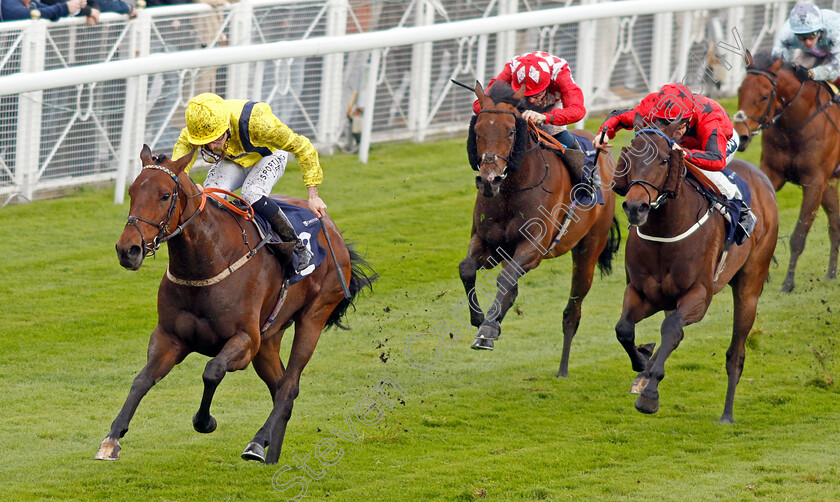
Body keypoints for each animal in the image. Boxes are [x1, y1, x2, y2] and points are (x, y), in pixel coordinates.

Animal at [95, 145, 374, 466]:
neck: (207, 261)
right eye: (132, 191)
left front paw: (205, 422)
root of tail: (332, 229)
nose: (128, 250)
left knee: (289, 386)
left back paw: (257, 443)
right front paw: (111, 439)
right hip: (269, 339)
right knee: (280, 387)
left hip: (313, 317)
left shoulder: (245, 340)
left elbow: (212, 370)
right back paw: (271, 454)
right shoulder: (169, 337)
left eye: (165, 195)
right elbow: (142, 380)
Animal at [456, 81, 620, 376]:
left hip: (589, 249)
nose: (488, 180)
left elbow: (505, 279)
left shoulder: (534, 248)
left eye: (511, 131)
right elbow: (467, 269)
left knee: (572, 311)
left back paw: (563, 369)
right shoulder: (487, 244)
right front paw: (480, 319)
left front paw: (487, 329)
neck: (511, 189)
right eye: (478, 130)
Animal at [612, 118, 776, 424]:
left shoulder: (699, 295)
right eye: (629, 157)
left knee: (736, 353)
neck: (665, 229)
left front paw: (649, 395)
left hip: (750, 285)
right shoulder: (643, 293)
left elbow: (672, 329)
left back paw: (727, 414)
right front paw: (643, 363)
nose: (635, 207)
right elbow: (624, 329)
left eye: (664, 159)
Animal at [736, 49, 840, 292]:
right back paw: (831, 273)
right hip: (830, 184)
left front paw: (788, 282)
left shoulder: (814, 181)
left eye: (765, 96)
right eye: (740, 91)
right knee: (835, 224)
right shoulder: (772, 173)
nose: (741, 135)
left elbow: (799, 235)